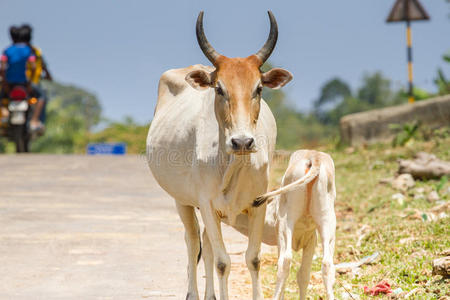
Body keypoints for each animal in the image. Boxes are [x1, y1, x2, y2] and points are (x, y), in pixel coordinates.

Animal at [147, 9, 292, 300]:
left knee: (206, 246)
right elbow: (223, 262)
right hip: (182, 200)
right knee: (193, 242)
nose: (242, 141)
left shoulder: (258, 203)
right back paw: (193, 293)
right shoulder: (206, 204)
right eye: (219, 89)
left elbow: (253, 258)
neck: (232, 165)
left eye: (259, 88)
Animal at [234, 150, 336, 300]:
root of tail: (314, 157)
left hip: (285, 223)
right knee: (327, 263)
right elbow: (304, 275)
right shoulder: (311, 240)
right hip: (327, 222)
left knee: (285, 261)